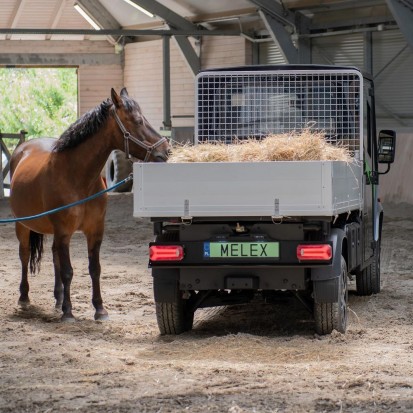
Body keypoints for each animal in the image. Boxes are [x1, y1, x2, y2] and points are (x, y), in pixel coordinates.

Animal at [8, 87, 169, 322]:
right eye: (138, 121)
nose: (165, 150)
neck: (77, 177)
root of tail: (24, 148)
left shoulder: (94, 231)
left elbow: (94, 268)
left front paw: (99, 309)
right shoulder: (64, 231)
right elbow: (68, 271)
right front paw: (68, 312)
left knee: (55, 257)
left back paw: (58, 299)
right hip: (23, 225)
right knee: (25, 254)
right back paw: (25, 297)